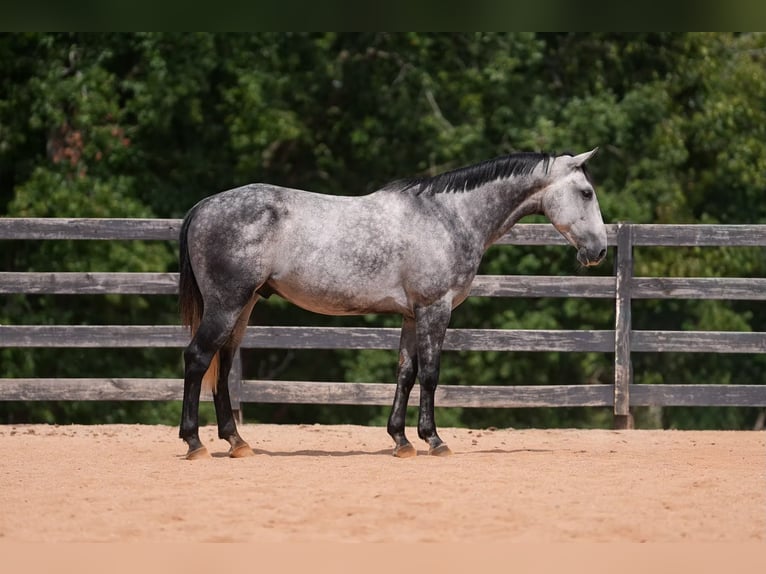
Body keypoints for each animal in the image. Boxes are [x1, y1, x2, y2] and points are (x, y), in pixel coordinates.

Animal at [178, 149, 607, 460]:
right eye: (586, 193)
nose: (600, 251)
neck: (448, 217)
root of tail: (203, 206)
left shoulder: (411, 316)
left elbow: (406, 372)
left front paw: (402, 440)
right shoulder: (435, 309)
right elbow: (430, 373)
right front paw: (434, 440)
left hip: (244, 306)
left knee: (223, 364)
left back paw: (236, 442)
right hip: (227, 304)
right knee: (198, 358)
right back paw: (195, 443)